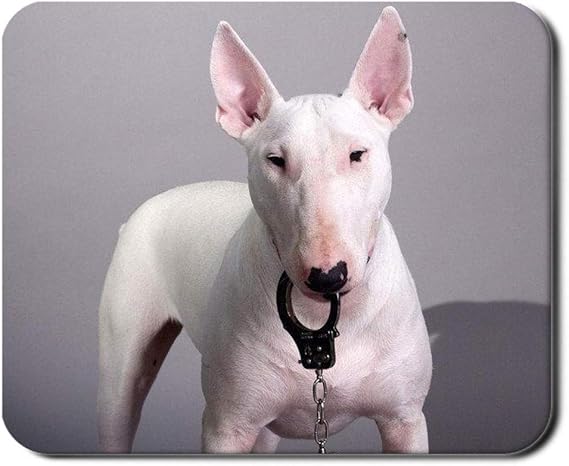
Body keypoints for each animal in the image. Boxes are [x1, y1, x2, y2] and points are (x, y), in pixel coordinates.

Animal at [97, 6, 432, 454]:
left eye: (357, 154)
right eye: (276, 160)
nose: (327, 276)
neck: (321, 319)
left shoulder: (404, 421)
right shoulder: (226, 427)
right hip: (122, 366)